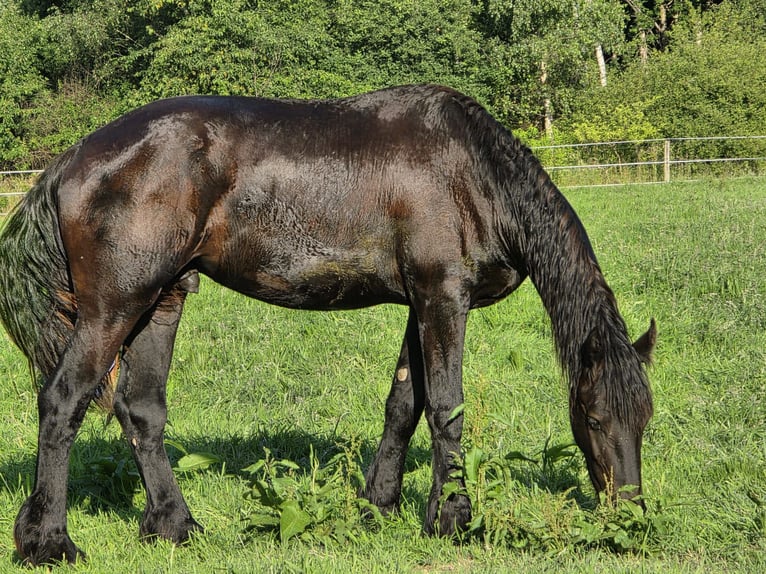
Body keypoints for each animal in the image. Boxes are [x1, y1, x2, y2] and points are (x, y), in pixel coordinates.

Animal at [0, 84, 655, 565]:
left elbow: (404, 404)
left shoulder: (419, 304)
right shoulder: (443, 298)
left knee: (140, 411)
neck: (470, 172)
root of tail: (70, 161)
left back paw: (174, 526)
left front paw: (378, 507)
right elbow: (446, 407)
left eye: (644, 418)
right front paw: (451, 519)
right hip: (114, 307)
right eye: (594, 416)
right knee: (64, 400)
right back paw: (49, 542)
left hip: (162, 301)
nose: (631, 518)